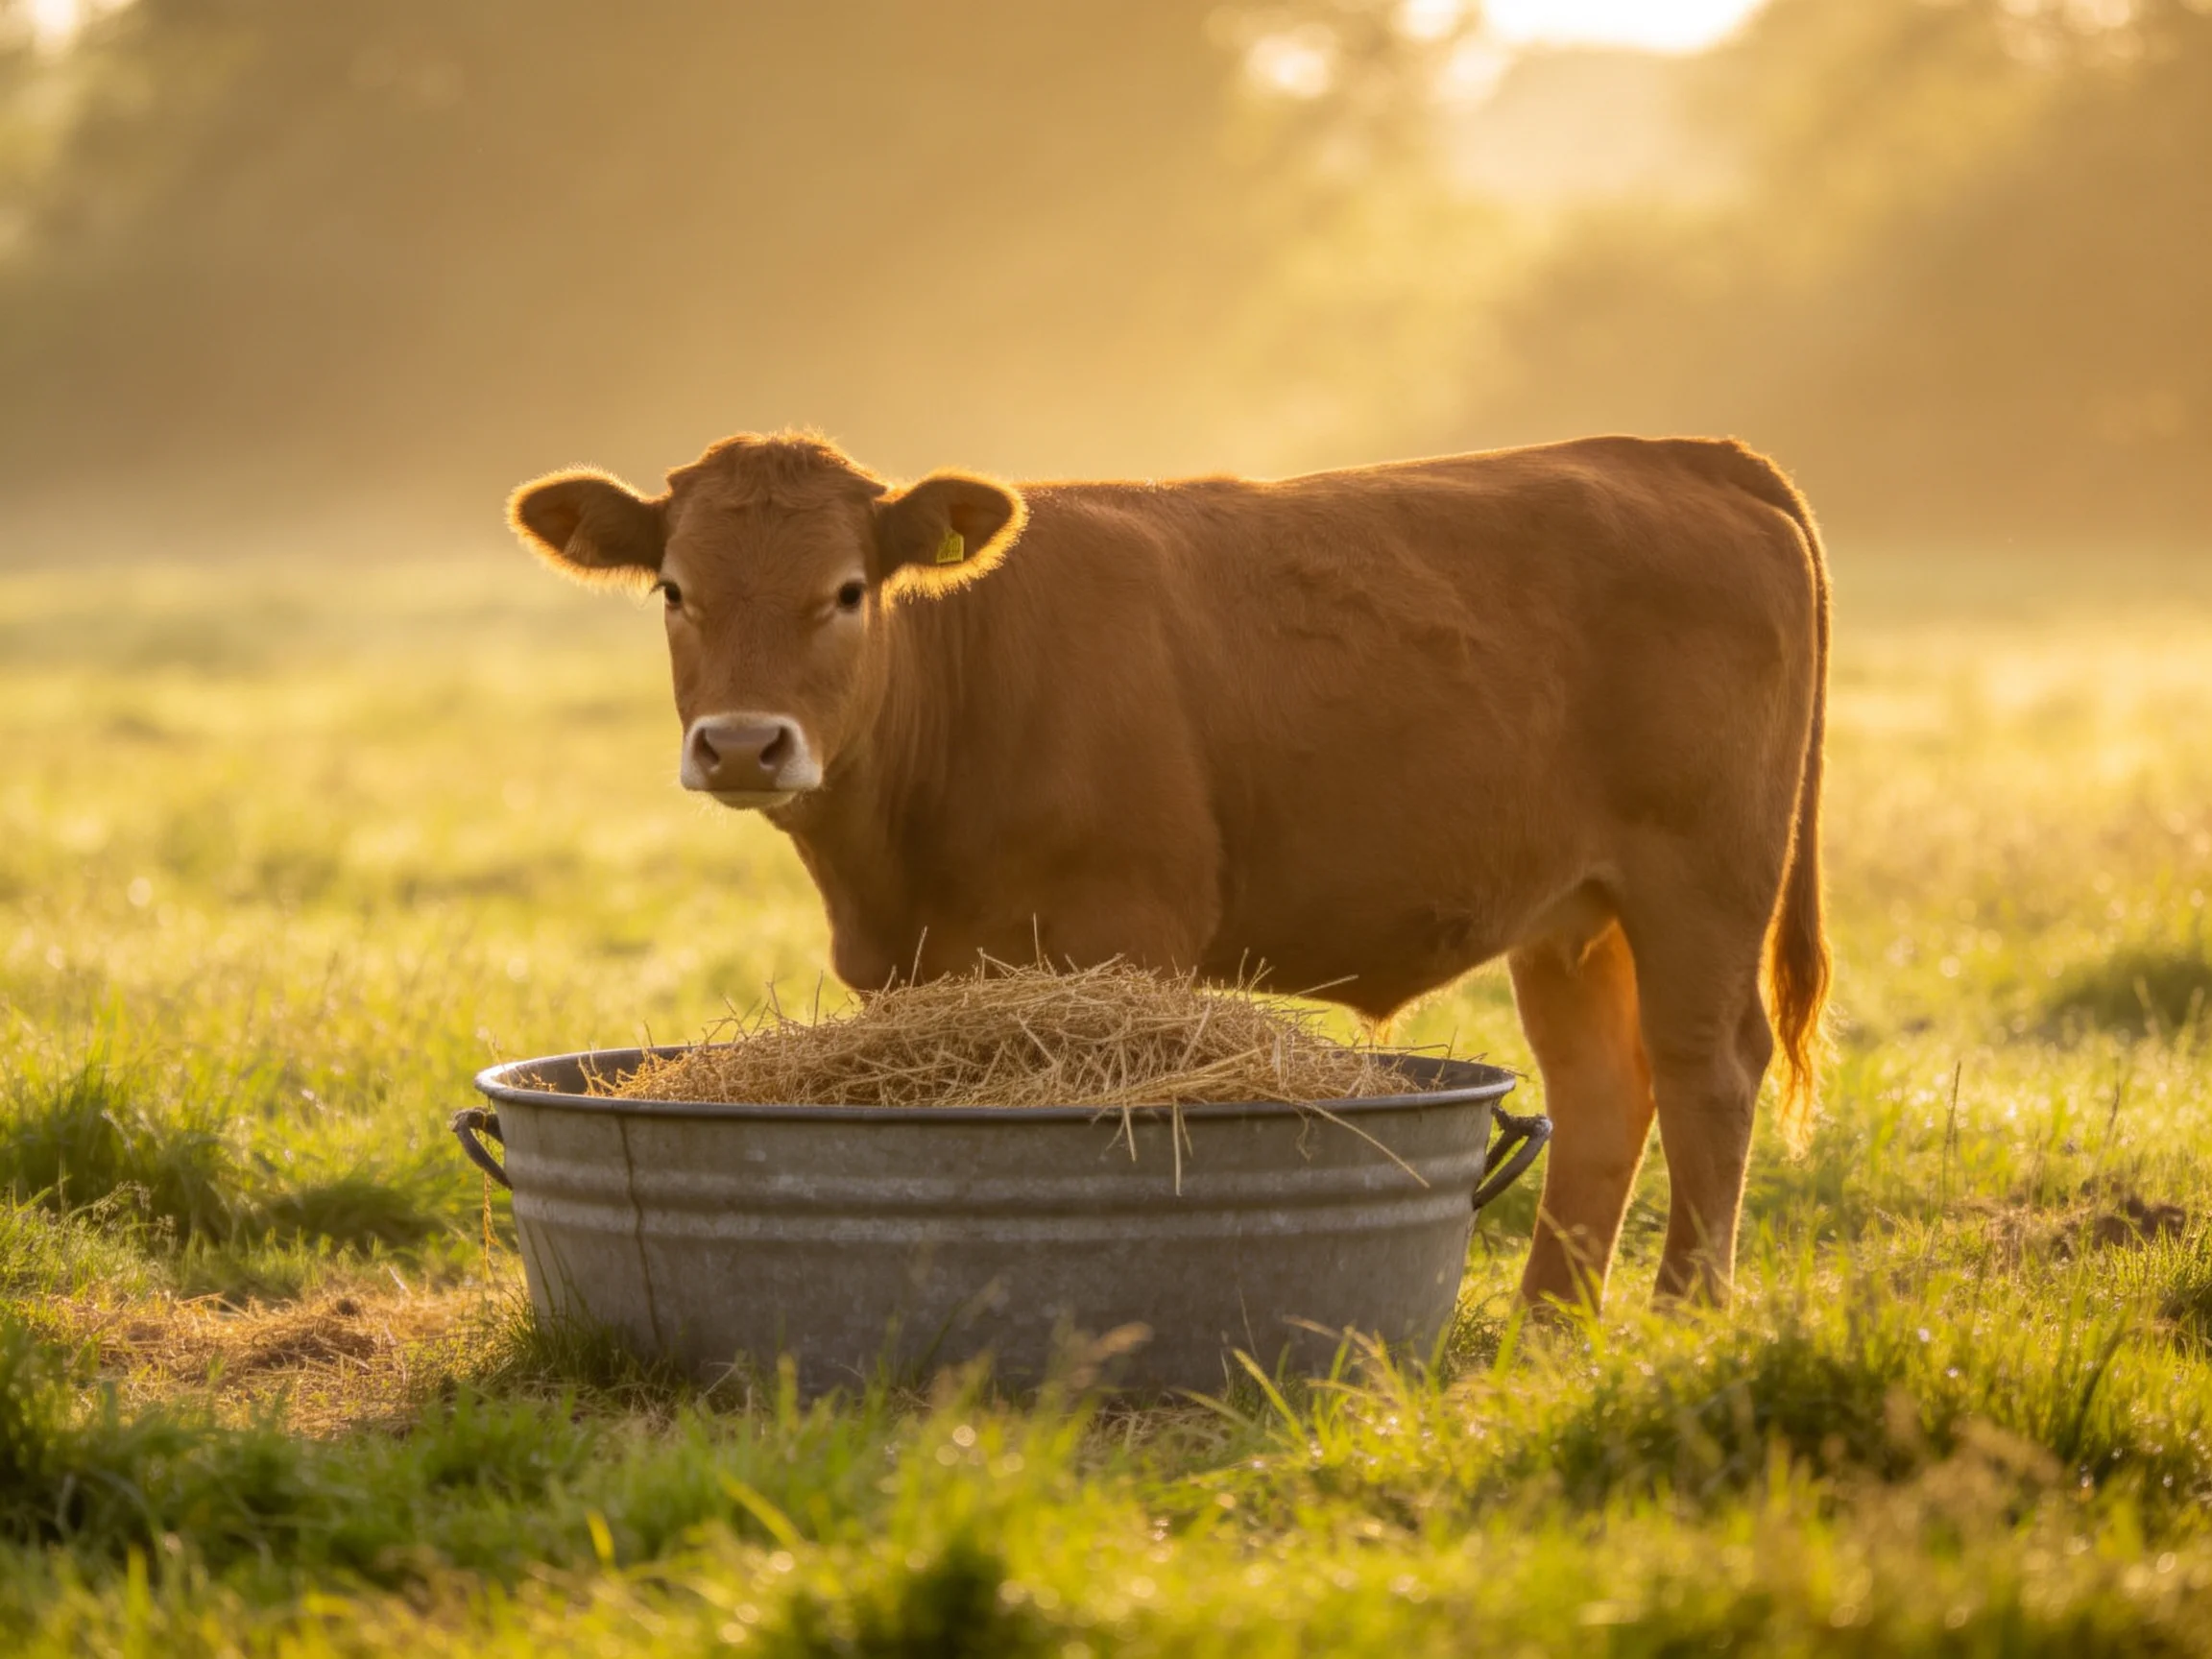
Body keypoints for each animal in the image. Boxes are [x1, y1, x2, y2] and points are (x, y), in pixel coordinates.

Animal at [508, 431, 1830, 1312]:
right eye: (674, 589)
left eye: (846, 591)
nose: (742, 744)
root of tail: (1680, 457)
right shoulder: (913, 971)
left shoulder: (1122, 935)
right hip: (1571, 911)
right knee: (1604, 1088)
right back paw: (1544, 1328)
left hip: (1703, 878)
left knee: (1709, 1072)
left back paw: (1686, 1313)